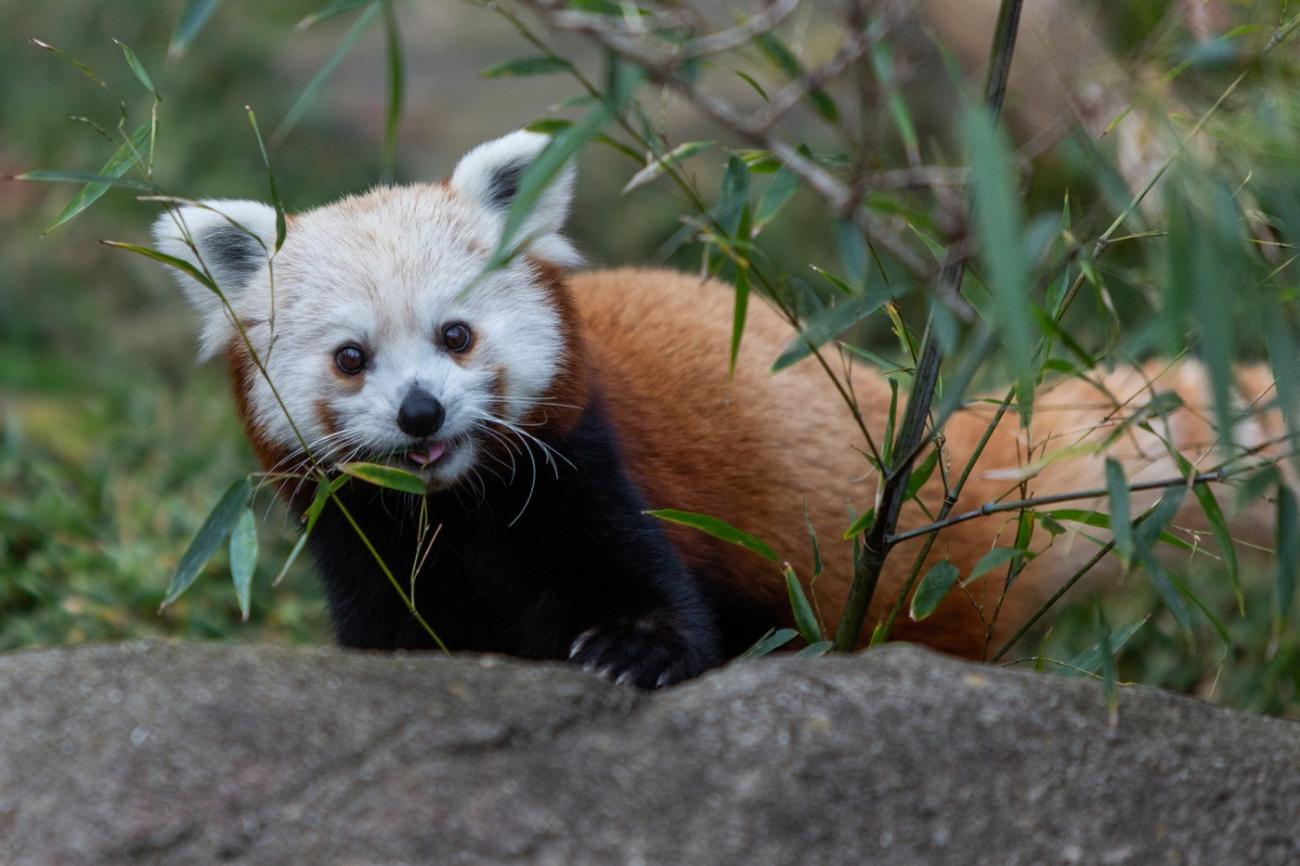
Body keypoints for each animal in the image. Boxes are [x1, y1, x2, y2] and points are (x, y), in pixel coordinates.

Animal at [154, 128, 1279, 686]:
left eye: (457, 336)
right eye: (352, 360)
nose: (423, 413)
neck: (457, 509)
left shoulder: (590, 468)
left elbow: (655, 593)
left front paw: (631, 650)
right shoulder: (363, 539)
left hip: (891, 571)